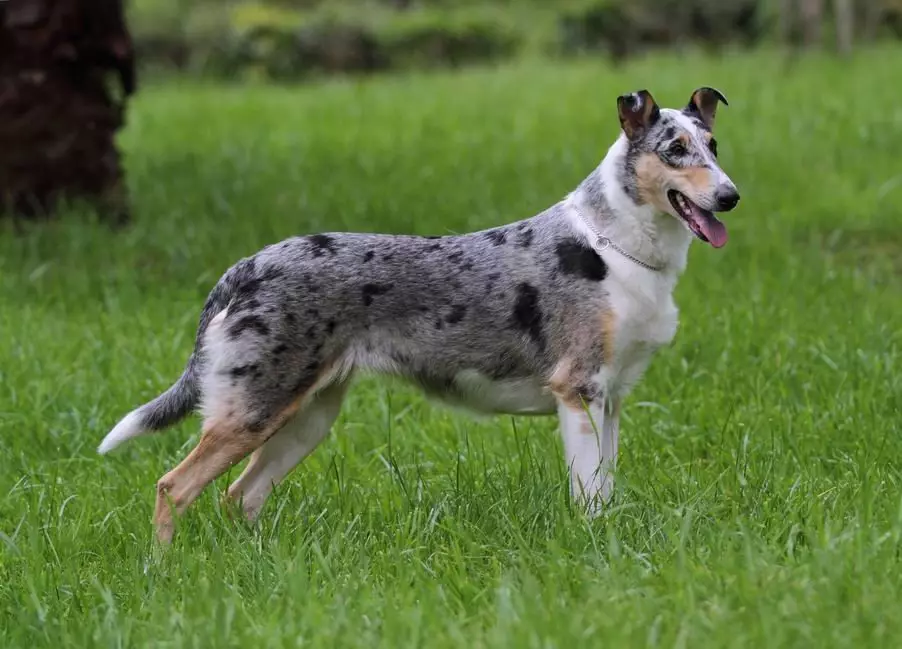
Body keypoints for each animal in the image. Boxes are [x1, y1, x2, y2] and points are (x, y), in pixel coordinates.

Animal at [100, 86, 740, 540]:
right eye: (674, 151)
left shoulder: (612, 397)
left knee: (240, 496)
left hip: (306, 415)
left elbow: (606, 486)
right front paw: (595, 548)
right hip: (255, 410)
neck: (615, 246)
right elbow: (589, 494)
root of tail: (246, 267)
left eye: (712, 147)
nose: (731, 196)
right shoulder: (578, 391)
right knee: (173, 487)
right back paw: (163, 576)